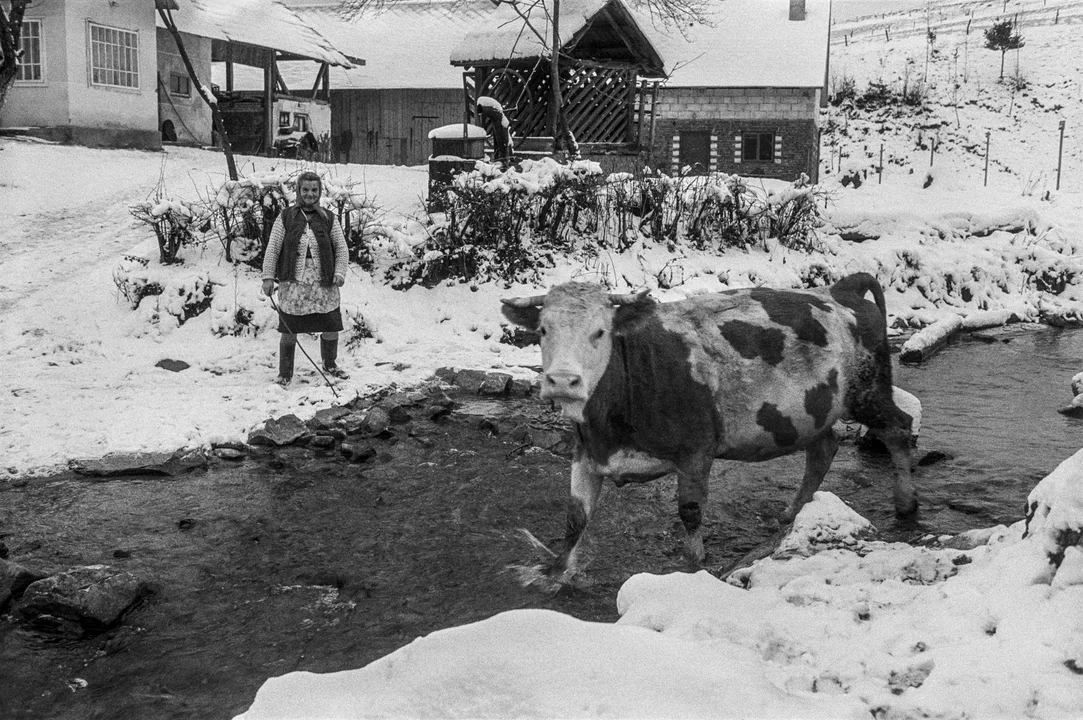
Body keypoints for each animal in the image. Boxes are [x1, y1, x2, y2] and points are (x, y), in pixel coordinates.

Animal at [502, 272, 918, 588]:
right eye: (543, 330)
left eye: (600, 332)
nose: (563, 381)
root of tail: (841, 289)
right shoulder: (587, 454)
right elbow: (575, 519)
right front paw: (555, 573)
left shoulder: (696, 451)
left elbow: (690, 515)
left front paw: (693, 568)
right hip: (814, 411)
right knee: (824, 447)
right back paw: (792, 512)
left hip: (868, 391)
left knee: (898, 429)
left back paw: (906, 505)